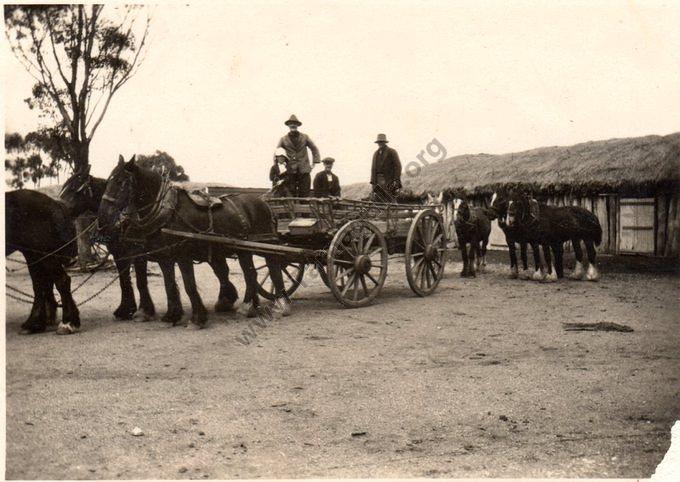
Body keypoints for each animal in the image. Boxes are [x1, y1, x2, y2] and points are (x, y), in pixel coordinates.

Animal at [4, 189, 79, 336]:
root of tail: (54, 202)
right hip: (33, 254)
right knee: (40, 284)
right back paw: (34, 324)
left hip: (43, 253)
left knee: (61, 281)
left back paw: (67, 323)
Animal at [59, 168, 156, 322]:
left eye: (74, 189)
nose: (58, 206)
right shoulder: (119, 253)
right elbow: (124, 280)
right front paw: (125, 310)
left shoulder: (138, 253)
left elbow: (141, 280)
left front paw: (145, 311)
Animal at [97, 154, 288, 328]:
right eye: (108, 181)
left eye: (121, 182)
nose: (103, 216)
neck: (167, 211)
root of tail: (264, 203)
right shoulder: (164, 256)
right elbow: (169, 283)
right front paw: (172, 315)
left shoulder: (182, 255)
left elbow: (188, 284)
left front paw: (197, 318)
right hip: (243, 248)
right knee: (250, 273)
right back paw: (249, 305)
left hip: (265, 243)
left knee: (274, 266)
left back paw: (281, 302)